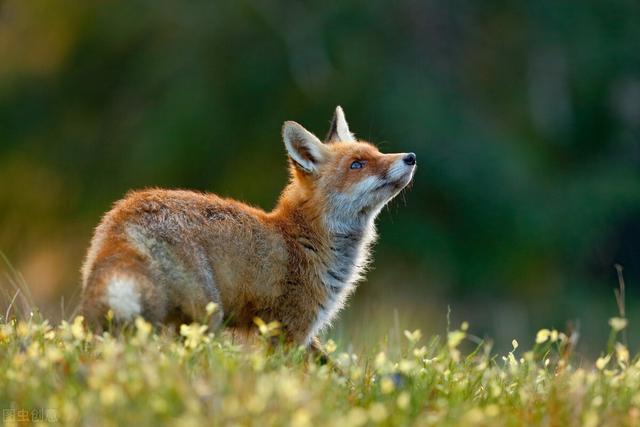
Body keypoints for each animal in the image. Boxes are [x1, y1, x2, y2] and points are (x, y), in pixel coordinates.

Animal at [80, 105, 418, 352]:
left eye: (376, 153)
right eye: (357, 165)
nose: (411, 157)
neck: (304, 237)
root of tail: (125, 216)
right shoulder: (289, 329)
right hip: (205, 315)